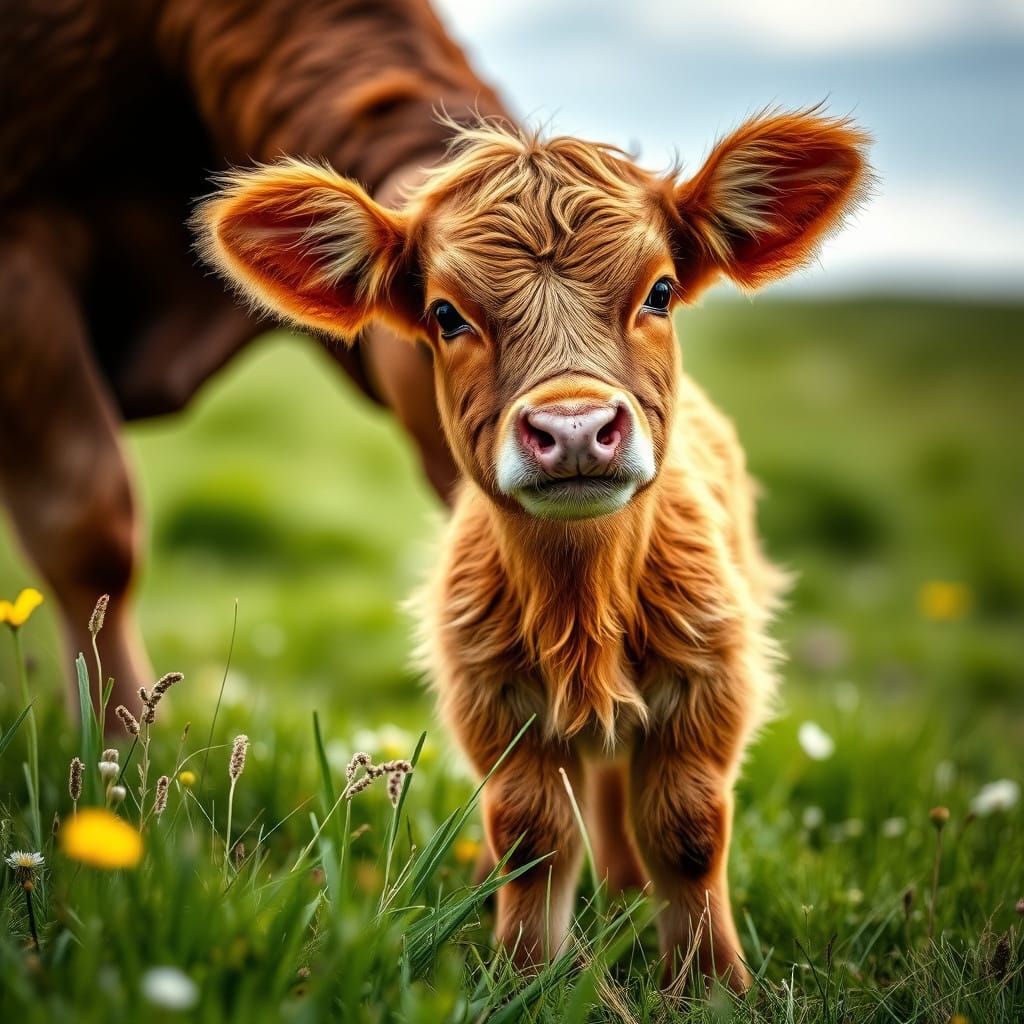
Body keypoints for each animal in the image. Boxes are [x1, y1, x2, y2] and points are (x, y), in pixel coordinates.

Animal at [196, 111, 871, 989]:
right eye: (446, 315)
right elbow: (532, 836)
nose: (575, 429)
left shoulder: (711, 681)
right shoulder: (492, 699)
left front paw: (710, 982)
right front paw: (523, 975)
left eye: (659, 292)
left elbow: (688, 831)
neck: (583, 599)